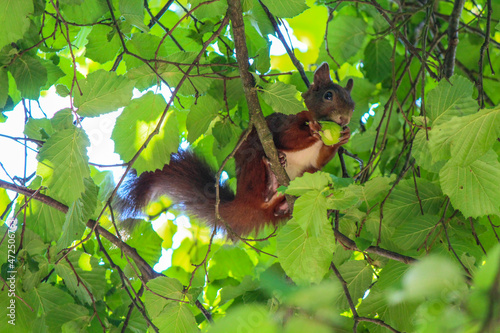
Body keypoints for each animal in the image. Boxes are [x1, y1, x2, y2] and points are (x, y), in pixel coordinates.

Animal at [115, 63, 354, 236]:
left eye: (352, 104)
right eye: (328, 95)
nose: (345, 119)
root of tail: (245, 204)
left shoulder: (316, 161)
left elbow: (320, 159)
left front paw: (343, 138)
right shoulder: (283, 122)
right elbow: (288, 137)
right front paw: (314, 129)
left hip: (307, 175)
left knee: (280, 204)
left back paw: (285, 206)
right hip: (253, 166)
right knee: (263, 182)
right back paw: (271, 181)